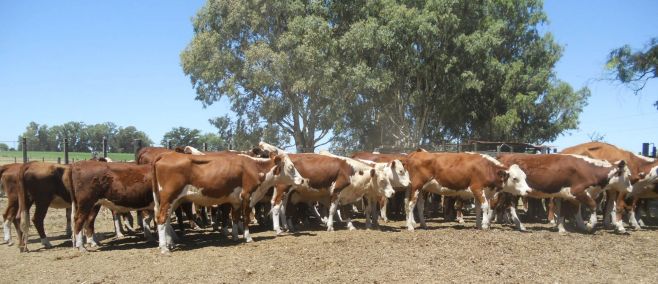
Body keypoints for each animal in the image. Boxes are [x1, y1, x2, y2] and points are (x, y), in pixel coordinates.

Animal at [402, 151, 532, 231]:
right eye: (515, 178)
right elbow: (485, 206)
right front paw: (484, 225)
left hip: (421, 189)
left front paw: (478, 225)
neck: (487, 168)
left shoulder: (480, 192)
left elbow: (479, 208)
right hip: (416, 187)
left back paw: (423, 224)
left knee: (418, 205)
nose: (528, 190)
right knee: (410, 205)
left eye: (525, 177)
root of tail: (414, 154)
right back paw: (410, 226)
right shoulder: (477, 188)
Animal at [498, 153, 632, 233]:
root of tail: (506, 155)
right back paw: (520, 225)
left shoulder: (567, 195)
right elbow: (592, 205)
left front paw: (566, 227)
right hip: (512, 193)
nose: (631, 189)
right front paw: (589, 224)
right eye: (628, 175)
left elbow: (570, 211)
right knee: (510, 207)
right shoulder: (577, 191)